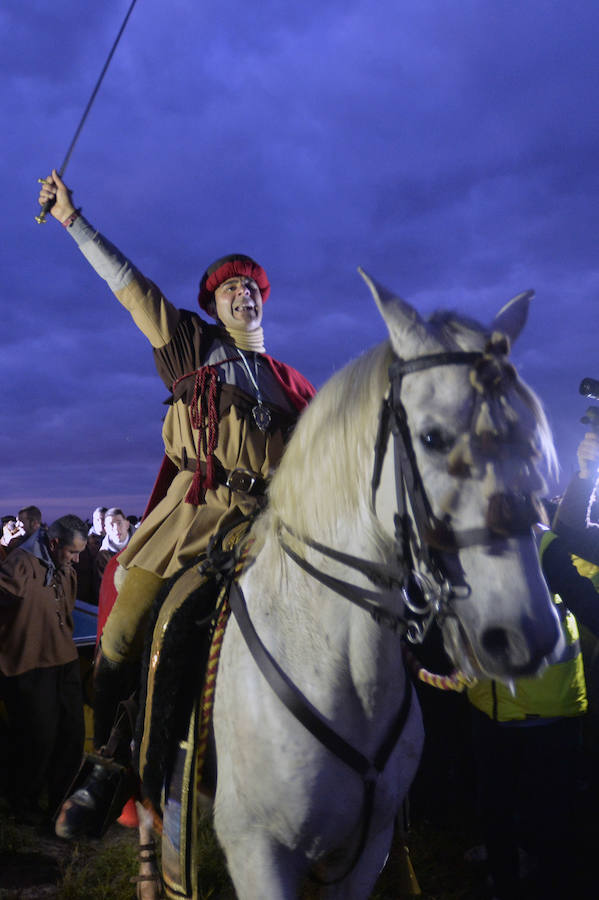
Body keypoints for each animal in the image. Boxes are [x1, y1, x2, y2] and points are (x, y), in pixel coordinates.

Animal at [169, 274, 564, 900]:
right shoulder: (258, 853)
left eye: (531, 440)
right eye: (431, 437)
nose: (527, 636)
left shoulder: (366, 850)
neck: (334, 663)